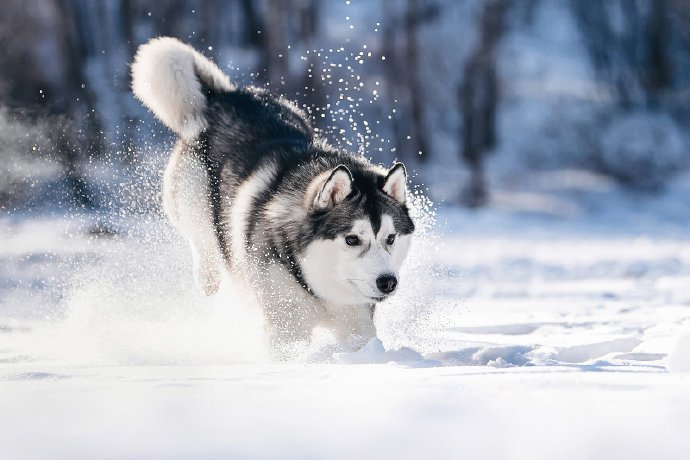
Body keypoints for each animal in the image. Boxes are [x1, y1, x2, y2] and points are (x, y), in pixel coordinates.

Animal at [132, 37, 414, 352]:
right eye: (352, 239)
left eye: (391, 238)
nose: (387, 282)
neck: (317, 284)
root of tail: (227, 96)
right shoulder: (285, 330)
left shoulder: (357, 322)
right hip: (193, 200)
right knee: (203, 240)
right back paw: (209, 276)